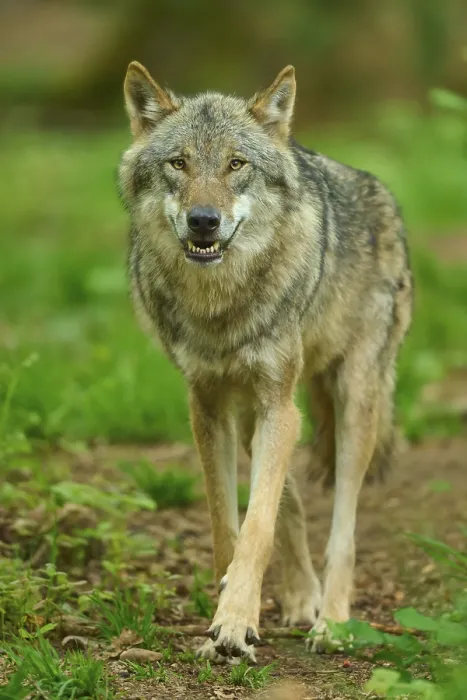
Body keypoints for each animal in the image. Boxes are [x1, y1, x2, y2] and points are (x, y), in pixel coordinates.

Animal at [118, 62, 413, 662]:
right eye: (179, 163)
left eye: (236, 164)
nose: (203, 221)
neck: (220, 305)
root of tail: (381, 193)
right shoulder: (208, 407)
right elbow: (228, 525)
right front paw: (227, 617)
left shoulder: (278, 401)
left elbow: (256, 528)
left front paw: (234, 624)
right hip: (260, 419)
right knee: (291, 506)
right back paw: (302, 601)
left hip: (350, 404)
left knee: (342, 528)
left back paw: (333, 623)